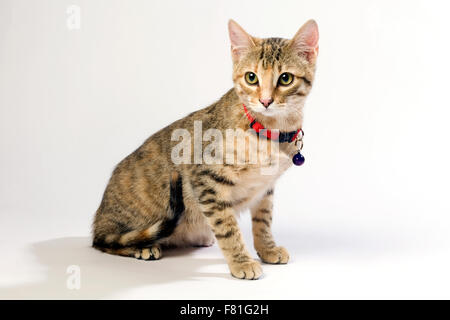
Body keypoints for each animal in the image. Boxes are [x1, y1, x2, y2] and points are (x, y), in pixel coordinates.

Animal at [91, 19, 318, 280]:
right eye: (251, 78)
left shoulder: (265, 188)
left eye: (285, 78)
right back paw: (142, 247)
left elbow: (263, 221)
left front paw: (267, 248)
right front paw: (241, 261)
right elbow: (227, 228)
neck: (271, 131)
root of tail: (99, 218)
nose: (265, 101)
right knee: (104, 242)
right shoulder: (206, 180)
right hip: (122, 227)